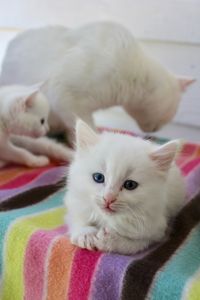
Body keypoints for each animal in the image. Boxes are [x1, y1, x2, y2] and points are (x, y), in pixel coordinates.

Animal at [64, 120, 186, 255]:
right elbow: (76, 218)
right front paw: (86, 234)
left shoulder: (156, 231)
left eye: (130, 185)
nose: (108, 198)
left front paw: (109, 240)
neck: (108, 219)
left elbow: (133, 245)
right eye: (98, 177)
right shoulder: (74, 203)